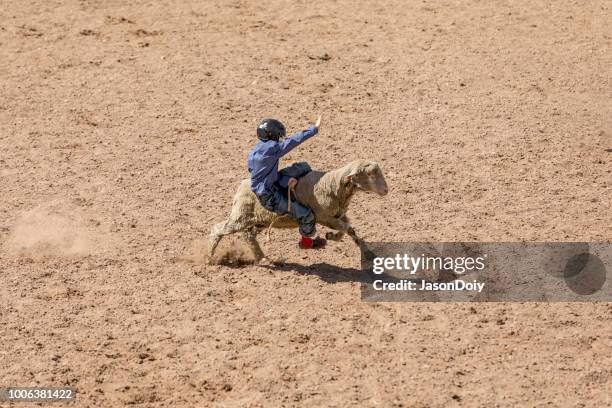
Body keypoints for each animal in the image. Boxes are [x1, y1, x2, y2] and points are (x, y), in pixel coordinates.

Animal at [206, 159, 388, 262]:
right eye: (370, 174)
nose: (386, 190)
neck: (333, 185)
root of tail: (242, 184)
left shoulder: (340, 215)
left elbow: (351, 230)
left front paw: (369, 254)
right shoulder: (324, 217)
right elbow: (345, 229)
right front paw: (331, 236)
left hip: (258, 220)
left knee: (248, 235)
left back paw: (262, 258)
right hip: (240, 216)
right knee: (218, 229)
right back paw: (209, 257)